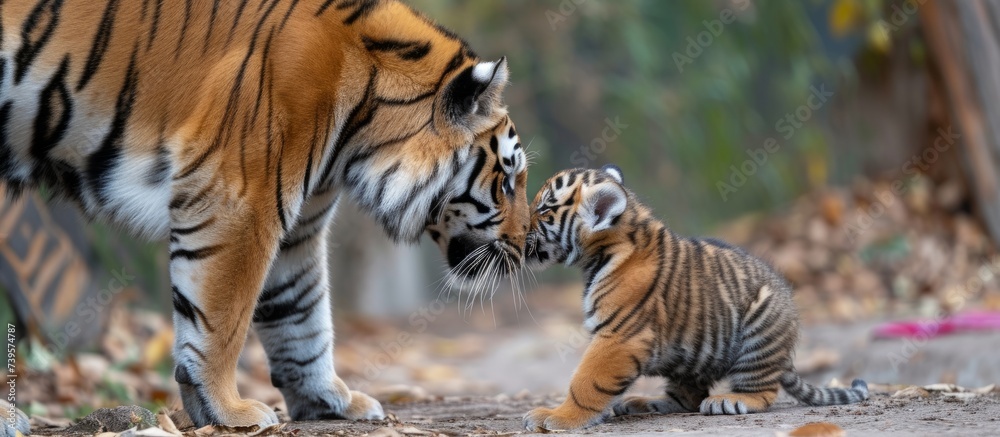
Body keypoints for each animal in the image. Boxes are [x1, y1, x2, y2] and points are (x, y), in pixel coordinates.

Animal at [0, 0, 530, 428]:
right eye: (506, 181)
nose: (527, 246)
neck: (360, 134)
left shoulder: (298, 226)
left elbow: (303, 313)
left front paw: (330, 401)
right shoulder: (239, 200)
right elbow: (223, 319)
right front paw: (229, 410)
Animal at [521, 165, 868, 431]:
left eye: (544, 210)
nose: (520, 226)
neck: (605, 250)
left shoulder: (619, 337)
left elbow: (586, 381)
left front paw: (555, 417)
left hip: (759, 334)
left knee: (762, 391)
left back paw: (731, 400)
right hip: (688, 357)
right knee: (687, 397)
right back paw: (643, 402)